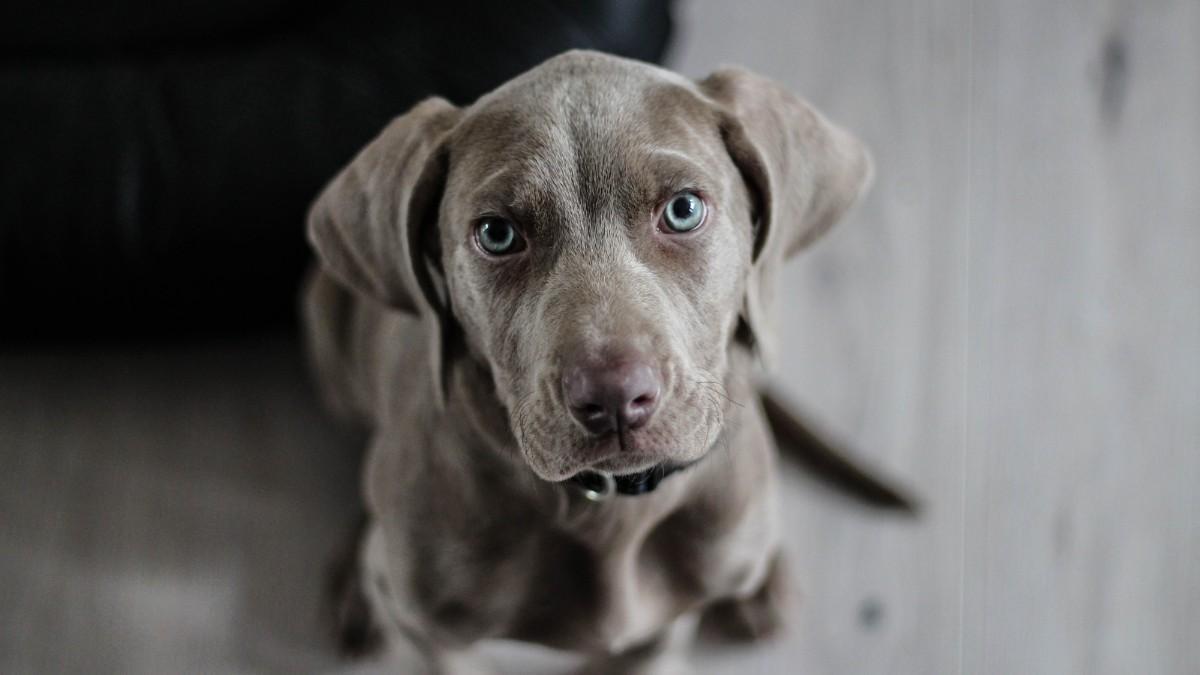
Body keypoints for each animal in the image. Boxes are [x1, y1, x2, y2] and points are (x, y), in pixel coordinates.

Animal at [302, 49, 873, 667]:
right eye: (497, 234)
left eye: (683, 209)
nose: (615, 398)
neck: (608, 508)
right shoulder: (431, 635)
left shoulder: (662, 631)